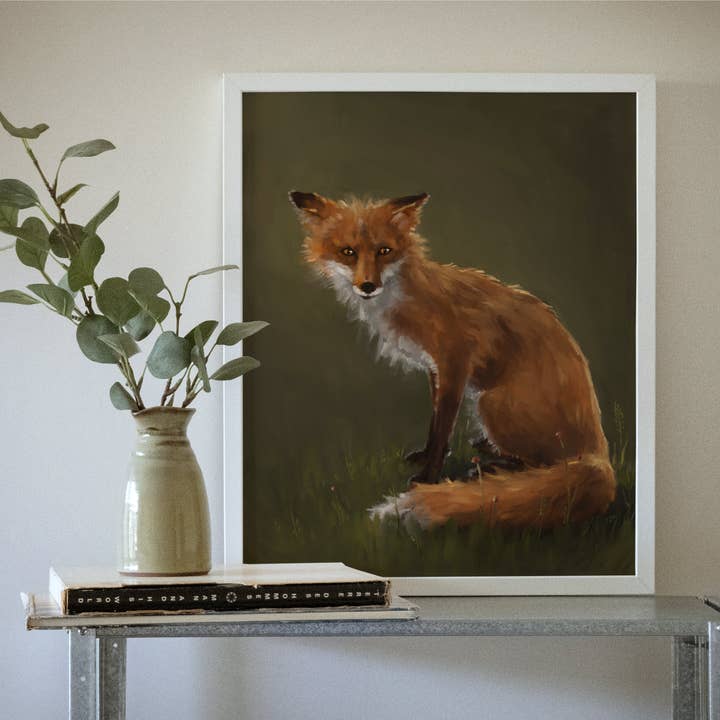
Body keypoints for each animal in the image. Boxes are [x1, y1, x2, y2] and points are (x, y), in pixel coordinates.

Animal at [289, 190, 616, 529]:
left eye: (384, 251)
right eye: (348, 252)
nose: (368, 286)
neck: (407, 297)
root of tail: (599, 451)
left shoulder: (455, 362)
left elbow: (442, 428)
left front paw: (427, 477)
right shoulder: (435, 369)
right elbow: (435, 427)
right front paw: (425, 456)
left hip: (489, 403)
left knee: (546, 465)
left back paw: (492, 467)